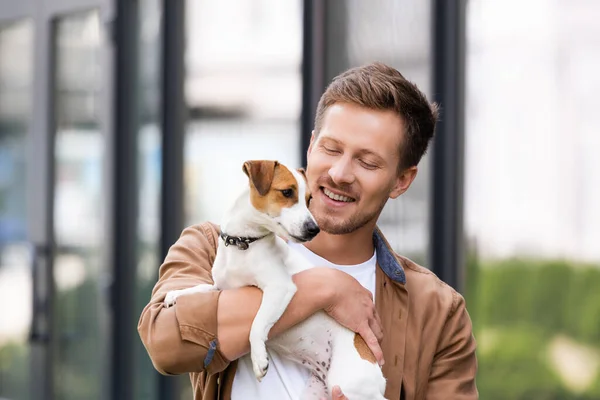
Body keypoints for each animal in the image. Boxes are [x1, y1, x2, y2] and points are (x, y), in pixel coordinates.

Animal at [164, 160, 386, 400]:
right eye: (287, 192)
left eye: (309, 199)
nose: (314, 229)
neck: (242, 244)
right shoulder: (222, 289)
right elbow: (201, 288)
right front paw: (175, 294)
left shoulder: (280, 287)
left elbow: (257, 323)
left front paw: (259, 359)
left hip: (348, 384)